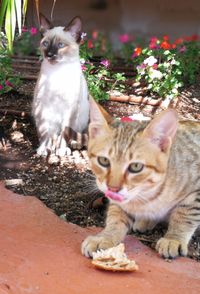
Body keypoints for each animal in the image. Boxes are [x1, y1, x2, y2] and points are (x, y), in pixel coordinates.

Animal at [32, 14, 89, 156]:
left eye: (61, 45)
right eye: (46, 44)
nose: (49, 55)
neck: (57, 72)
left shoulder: (70, 108)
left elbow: (65, 133)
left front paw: (62, 150)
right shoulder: (42, 106)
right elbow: (44, 133)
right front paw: (43, 149)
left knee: (72, 133)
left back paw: (72, 145)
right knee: (52, 134)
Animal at [81, 98, 200, 258]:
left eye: (136, 166)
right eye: (103, 161)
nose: (113, 188)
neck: (147, 195)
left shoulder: (196, 191)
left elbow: (185, 215)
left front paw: (173, 238)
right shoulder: (119, 202)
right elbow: (116, 217)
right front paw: (106, 237)